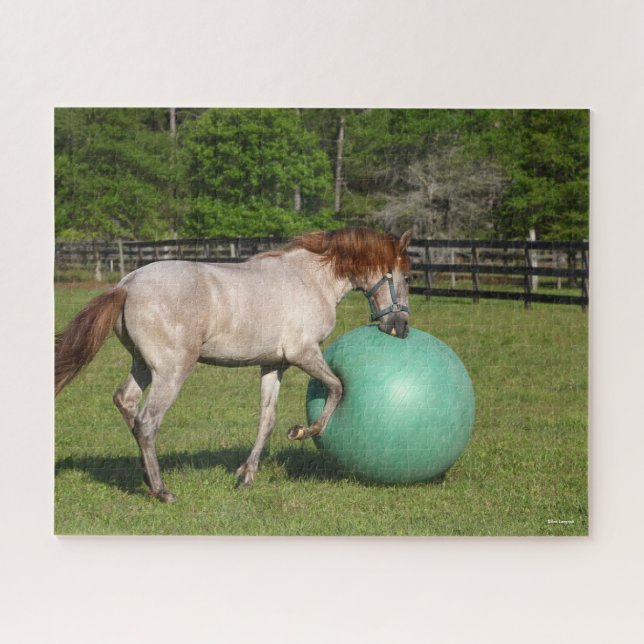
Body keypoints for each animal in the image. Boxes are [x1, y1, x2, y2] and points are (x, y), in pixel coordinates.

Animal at [55, 227, 412, 502]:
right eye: (408, 277)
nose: (401, 328)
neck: (312, 279)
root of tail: (126, 285)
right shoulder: (305, 354)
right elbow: (337, 387)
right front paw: (304, 431)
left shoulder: (275, 365)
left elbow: (267, 420)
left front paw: (246, 475)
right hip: (171, 373)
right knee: (146, 422)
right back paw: (161, 490)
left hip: (143, 365)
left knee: (125, 402)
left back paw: (146, 476)